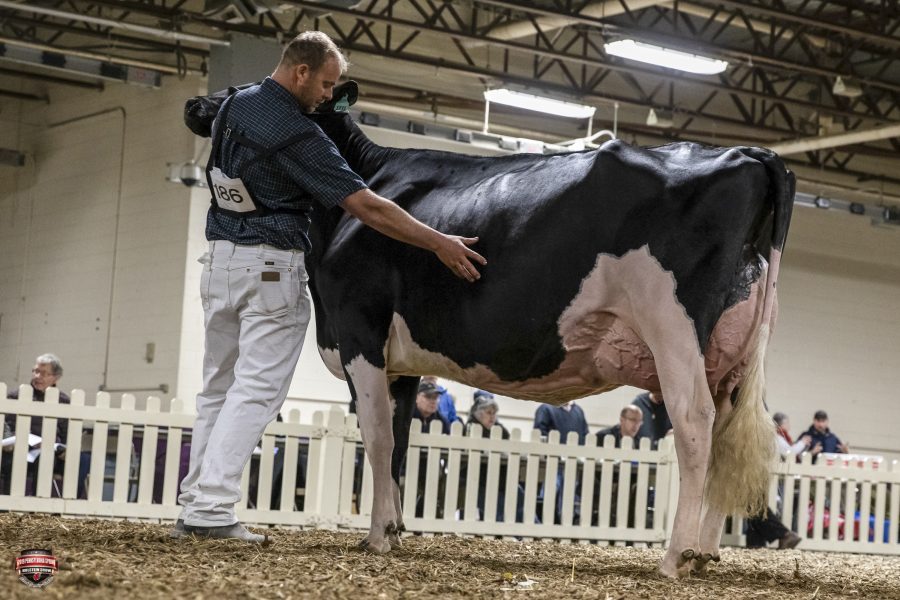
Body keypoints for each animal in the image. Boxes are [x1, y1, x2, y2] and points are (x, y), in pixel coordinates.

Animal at [186, 83, 795, 578]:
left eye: (245, 88)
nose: (195, 104)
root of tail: (751, 153)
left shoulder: (361, 333)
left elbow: (377, 437)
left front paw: (378, 537)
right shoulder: (403, 364)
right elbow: (401, 441)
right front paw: (396, 529)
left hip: (672, 326)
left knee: (694, 424)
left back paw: (675, 557)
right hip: (732, 354)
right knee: (725, 436)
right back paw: (707, 552)